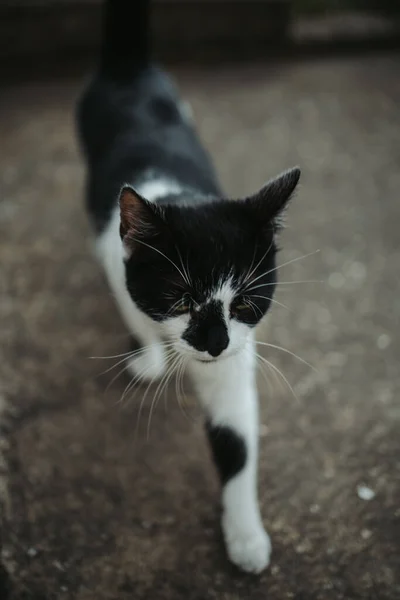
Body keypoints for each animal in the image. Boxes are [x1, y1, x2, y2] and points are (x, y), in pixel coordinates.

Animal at [76, 0, 300, 576]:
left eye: (245, 301)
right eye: (179, 297)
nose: (214, 343)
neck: (179, 193)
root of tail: (128, 69)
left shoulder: (239, 352)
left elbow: (236, 436)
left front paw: (245, 537)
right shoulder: (114, 261)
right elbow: (134, 313)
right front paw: (150, 356)